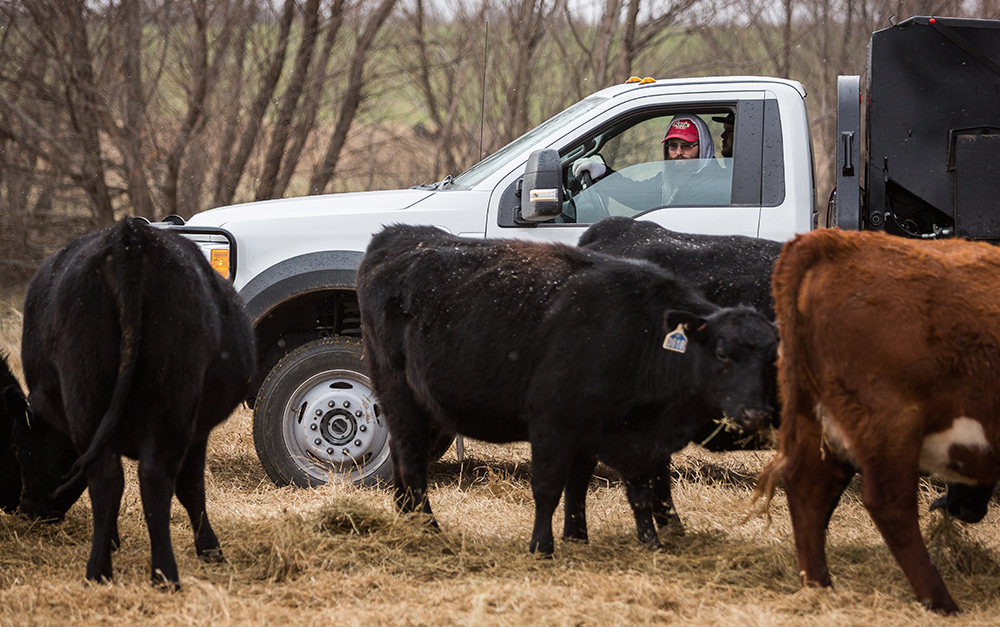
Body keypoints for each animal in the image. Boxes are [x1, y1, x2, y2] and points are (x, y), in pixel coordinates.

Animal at [13, 217, 256, 588]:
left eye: (28, 449)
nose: (28, 509)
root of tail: (129, 236)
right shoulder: (195, 430)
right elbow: (191, 488)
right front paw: (209, 549)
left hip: (87, 390)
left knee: (108, 477)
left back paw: (100, 571)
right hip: (170, 398)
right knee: (151, 477)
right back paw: (164, 574)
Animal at [356, 224, 776, 556]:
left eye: (772, 357)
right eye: (721, 353)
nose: (755, 413)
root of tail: (399, 234)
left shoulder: (621, 436)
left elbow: (609, 489)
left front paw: (606, 539)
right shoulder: (552, 422)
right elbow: (549, 487)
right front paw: (542, 547)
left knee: (402, 454)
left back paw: (406, 517)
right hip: (398, 391)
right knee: (413, 459)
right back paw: (428, 527)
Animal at [752, 229, 1000, 612]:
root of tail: (828, 240)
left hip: (816, 413)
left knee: (806, 485)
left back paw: (819, 585)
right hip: (890, 423)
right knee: (890, 504)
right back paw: (940, 600)